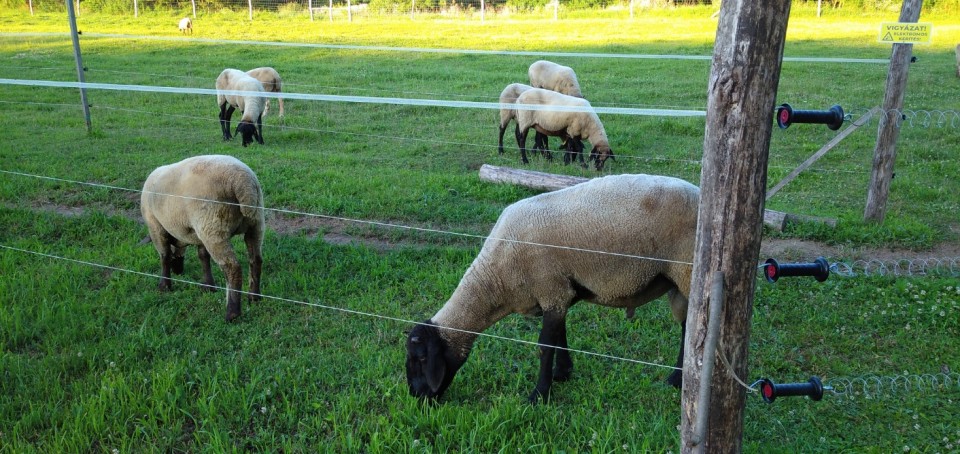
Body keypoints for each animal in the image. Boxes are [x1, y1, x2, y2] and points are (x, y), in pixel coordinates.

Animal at [141, 156, 264, 322]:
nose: (178, 271)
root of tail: (242, 182)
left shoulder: (155, 226)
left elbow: (164, 255)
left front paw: (164, 286)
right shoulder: (198, 233)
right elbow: (203, 256)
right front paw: (208, 285)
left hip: (214, 227)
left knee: (232, 268)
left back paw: (232, 313)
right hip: (255, 223)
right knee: (255, 260)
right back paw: (254, 297)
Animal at [404, 174, 696, 404]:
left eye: (421, 358)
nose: (417, 397)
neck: (495, 278)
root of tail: (697, 190)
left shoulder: (551, 289)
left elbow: (545, 345)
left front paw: (539, 394)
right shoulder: (558, 291)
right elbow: (559, 337)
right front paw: (562, 373)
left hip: (686, 270)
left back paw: (676, 380)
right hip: (675, 281)